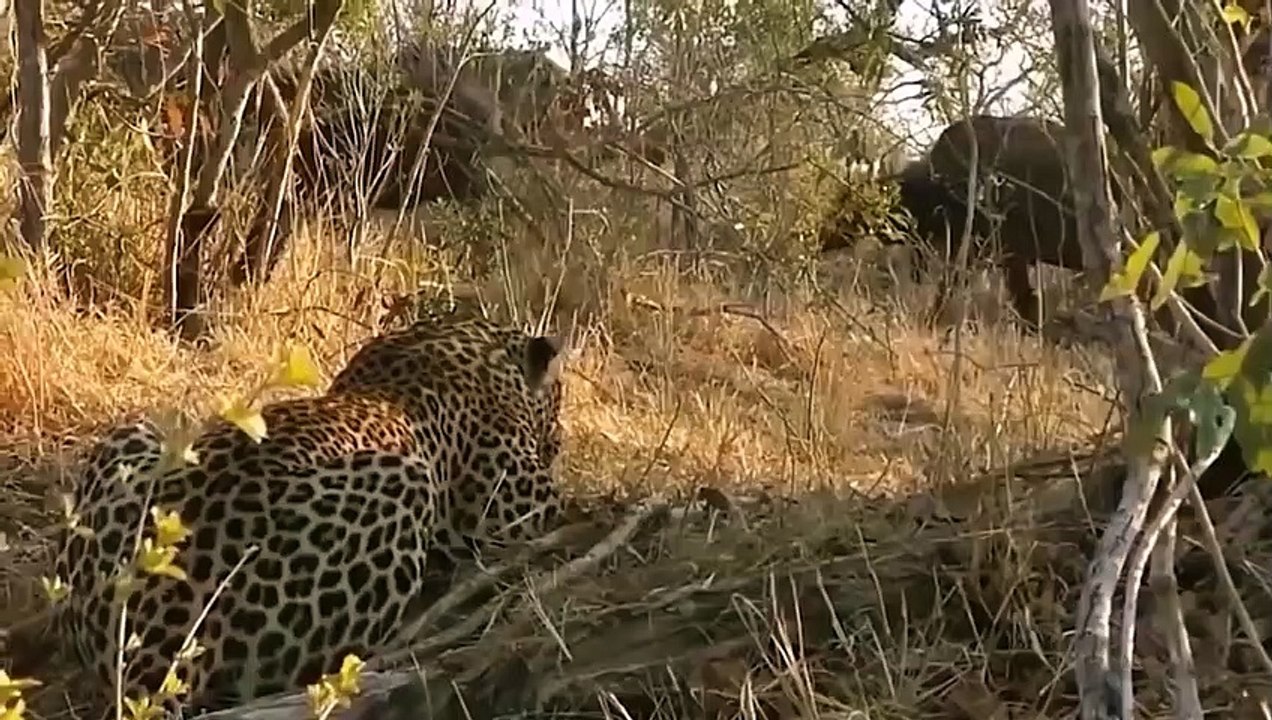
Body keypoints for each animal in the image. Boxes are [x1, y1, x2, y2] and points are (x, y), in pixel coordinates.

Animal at [31, 313, 567, 715]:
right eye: (559, 405)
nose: (559, 439)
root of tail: (158, 638)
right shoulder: (514, 499)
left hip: (135, 437)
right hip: (406, 482)